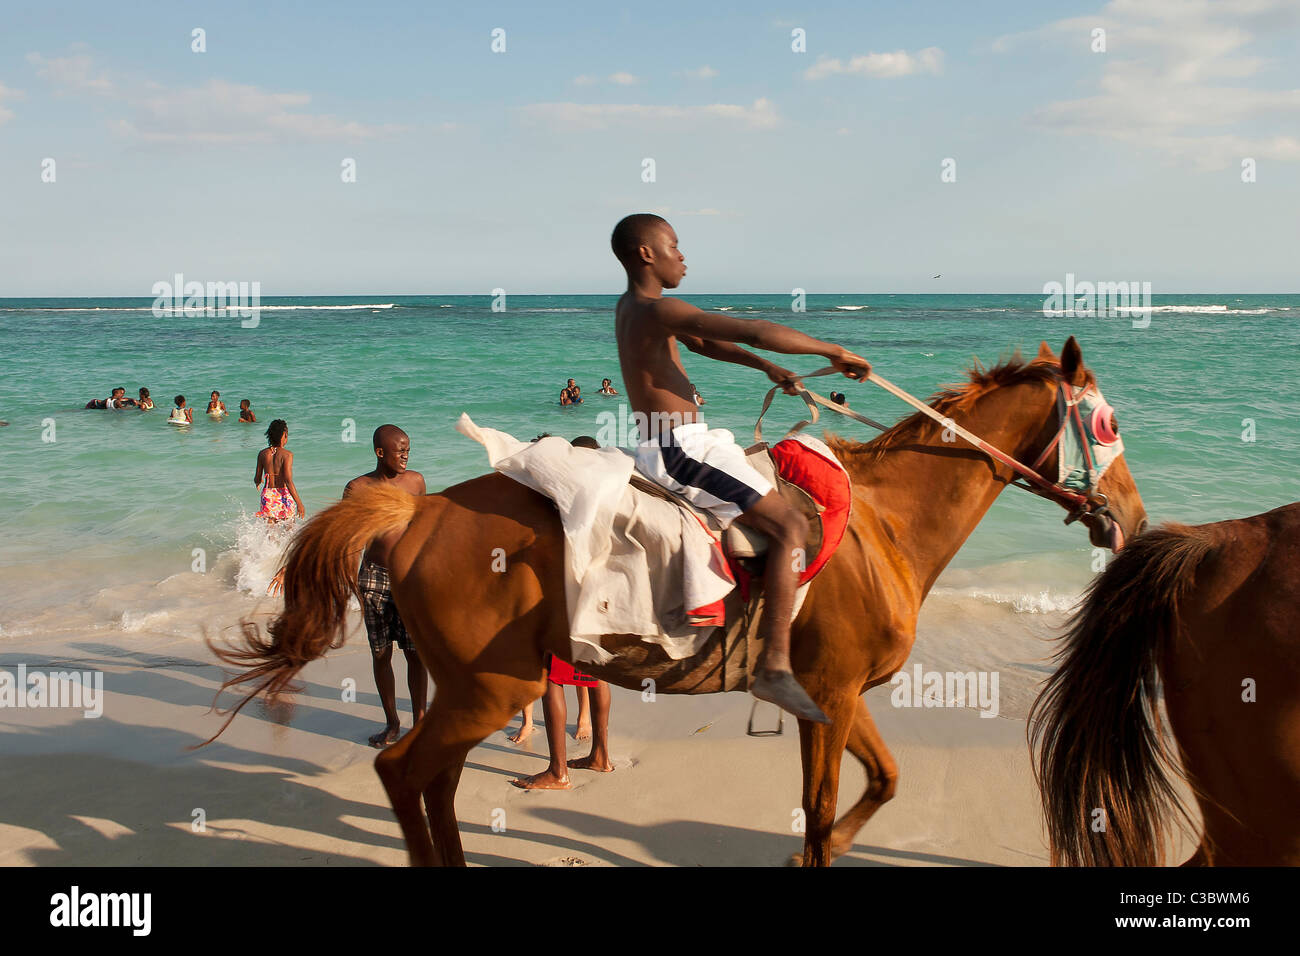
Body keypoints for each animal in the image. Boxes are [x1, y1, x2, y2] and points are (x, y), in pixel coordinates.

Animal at [208, 335, 1144, 868]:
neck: (885, 517)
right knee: (406, 773)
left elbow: (876, 787)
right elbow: (821, 812)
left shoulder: (834, 697)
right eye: (1106, 425)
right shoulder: (832, 697)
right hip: (492, 688)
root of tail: (421, 510)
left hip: (472, 688)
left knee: (432, 782)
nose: (1132, 519)